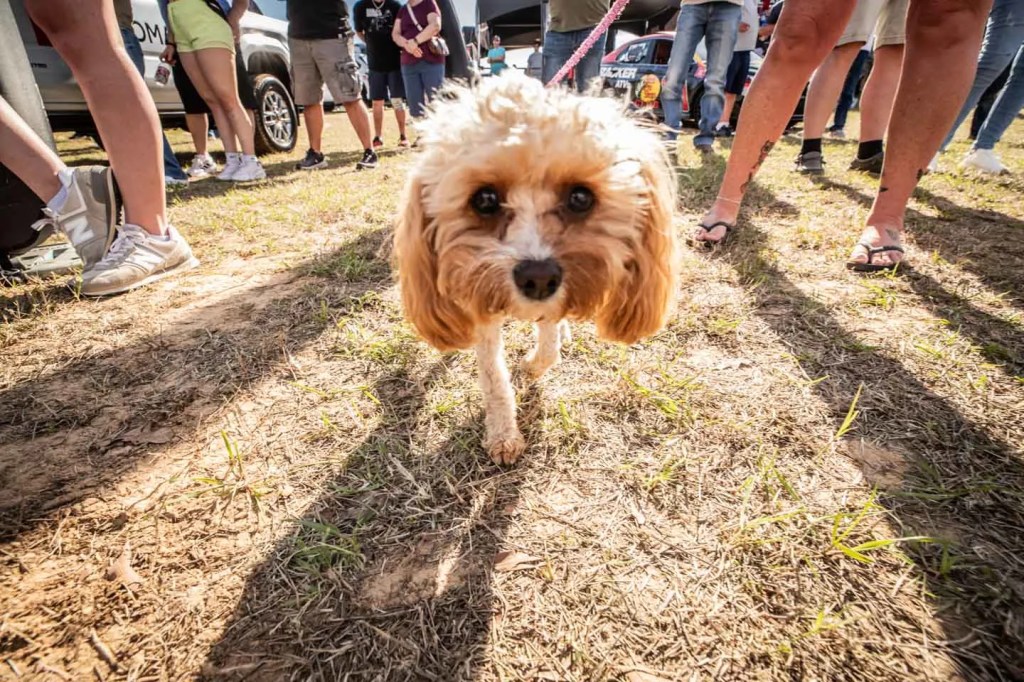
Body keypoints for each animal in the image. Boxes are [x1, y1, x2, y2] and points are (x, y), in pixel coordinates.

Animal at [394, 74, 678, 465]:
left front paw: (532, 364)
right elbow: (494, 378)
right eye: (484, 199)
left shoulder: (550, 306)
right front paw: (503, 435)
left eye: (580, 197)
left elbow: (548, 347)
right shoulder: (481, 309)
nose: (539, 278)